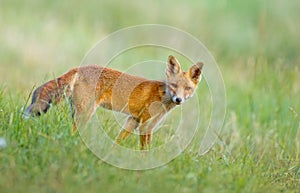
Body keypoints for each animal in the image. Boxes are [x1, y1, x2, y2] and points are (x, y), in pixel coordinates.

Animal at [25, 55, 204, 149]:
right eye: (174, 86)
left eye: (187, 88)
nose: (178, 99)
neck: (162, 95)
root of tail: (79, 68)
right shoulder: (145, 125)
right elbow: (145, 150)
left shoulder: (133, 120)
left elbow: (119, 141)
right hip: (85, 113)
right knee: (73, 132)